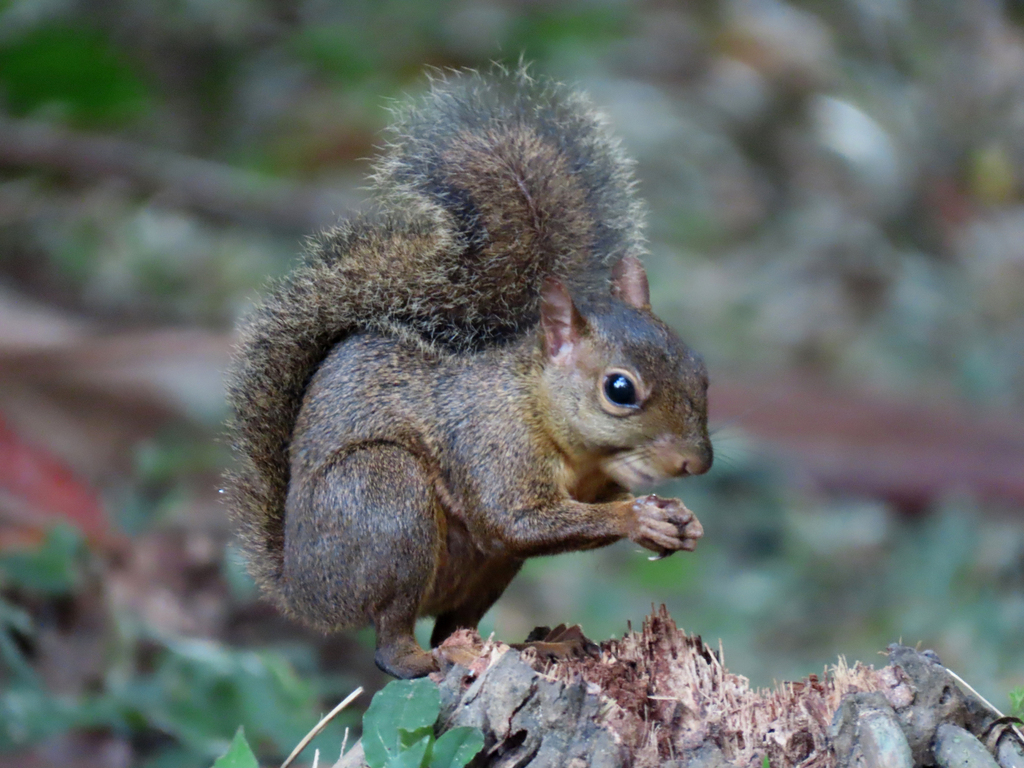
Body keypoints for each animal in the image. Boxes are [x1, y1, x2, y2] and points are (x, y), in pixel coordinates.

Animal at [226, 67, 712, 679]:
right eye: (619, 389)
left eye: (701, 370)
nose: (696, 463)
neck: (537, 407)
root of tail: (304, 592)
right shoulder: (491, 445)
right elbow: (515, 519)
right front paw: (638, 518)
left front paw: (682, 522)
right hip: (385, 501)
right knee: (391, 639)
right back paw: (427, 658)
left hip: (488, 570)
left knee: (455, 621)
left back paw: (537, 647)